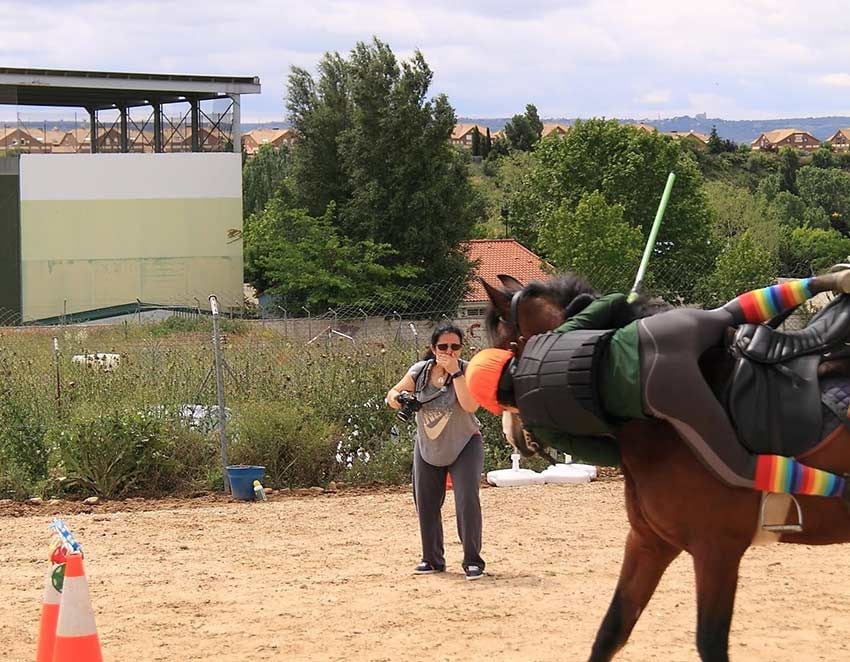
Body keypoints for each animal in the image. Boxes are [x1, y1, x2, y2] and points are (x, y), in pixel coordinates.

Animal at [480, 274, 848, 662]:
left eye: (504, 346)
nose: (511, 433)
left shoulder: (716, 550)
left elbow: (710, 642)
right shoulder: (649, 543)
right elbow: (611, 632)